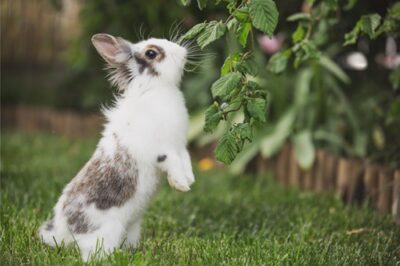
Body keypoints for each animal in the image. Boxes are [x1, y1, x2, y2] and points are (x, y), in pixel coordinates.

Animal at [38, 33, 195, 262]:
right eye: (151, 53)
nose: (182, 51)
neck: (154, 89)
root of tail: (63, 230)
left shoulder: (180, 146)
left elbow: (186, 160)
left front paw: (189, 180)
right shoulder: (163, 150)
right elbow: (172, 162)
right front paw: (181, 185)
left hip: (132, 226)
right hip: (106, 231)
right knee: (90, 253)